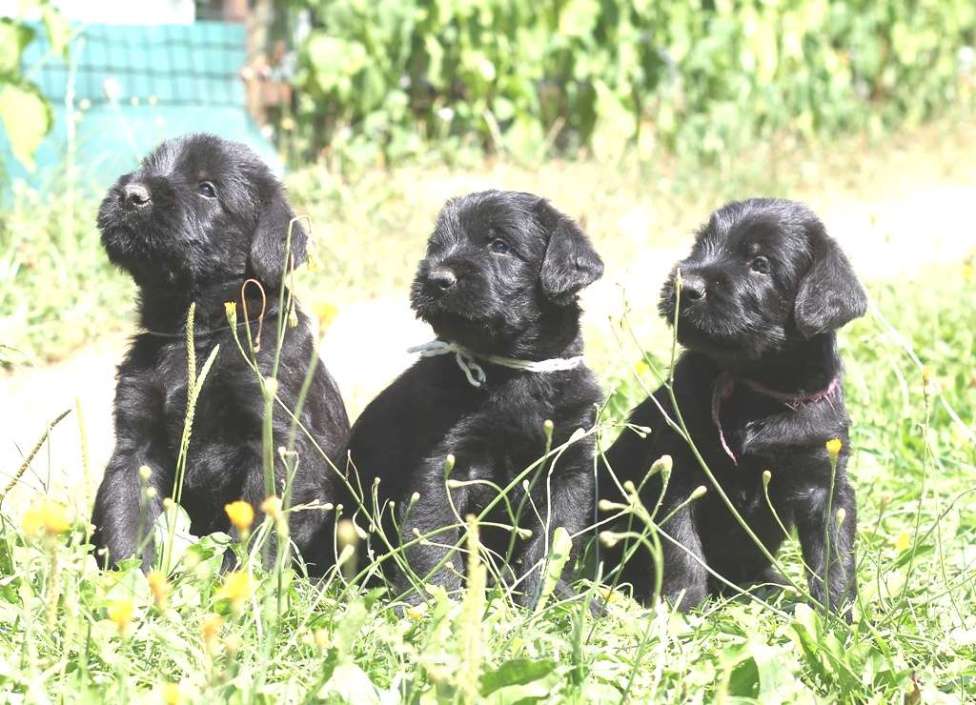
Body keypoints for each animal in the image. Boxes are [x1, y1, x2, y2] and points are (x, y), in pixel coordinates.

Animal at [88, 135, 346, 576]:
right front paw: (132, 581)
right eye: (147, 167)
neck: (195, 333)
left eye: (208, 189)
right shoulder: (136, 445)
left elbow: (257, 536)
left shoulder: (275, 442)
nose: (131, 194)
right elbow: (126, 516)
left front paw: (239, 585)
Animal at [344, 190, 604, 608]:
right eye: (436, 245)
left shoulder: (567, 465)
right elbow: (433, 539)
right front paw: (434, 603)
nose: (437, 279)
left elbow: (551, 542)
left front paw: (545, 600)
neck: (512, 373)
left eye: (500, 246)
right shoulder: (445, 464)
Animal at [604, 197, 868, 612]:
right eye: (701, 246)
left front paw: (839, 614)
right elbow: (682, 548)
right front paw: (681, 607)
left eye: (760, 264)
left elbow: (833, 553)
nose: (686, 285)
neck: (755, 389)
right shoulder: (681, 470)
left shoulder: (823, 478)